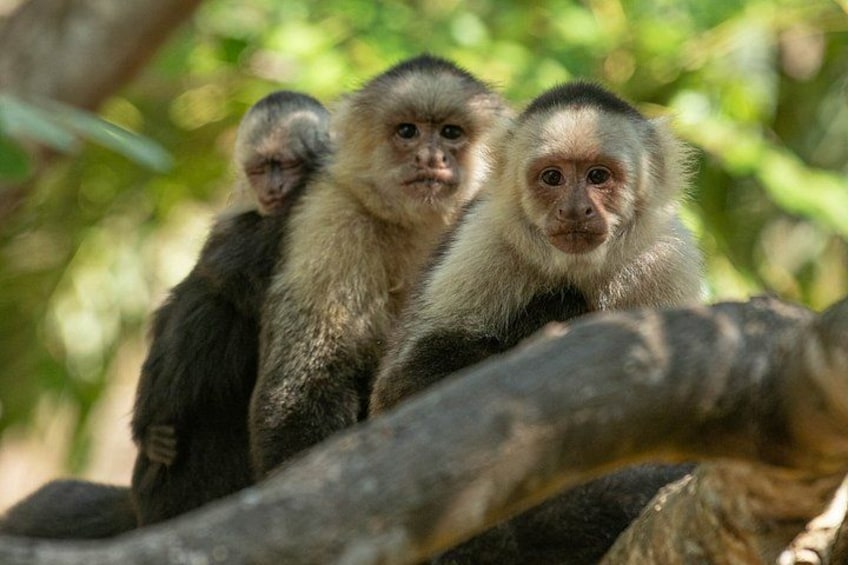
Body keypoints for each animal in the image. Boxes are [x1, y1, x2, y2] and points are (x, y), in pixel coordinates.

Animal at [367, 82, 703, 563]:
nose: (576, 210)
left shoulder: (667, 261)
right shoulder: (484, 241)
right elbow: (402, 389)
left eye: (598, 176)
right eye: (552, 178)